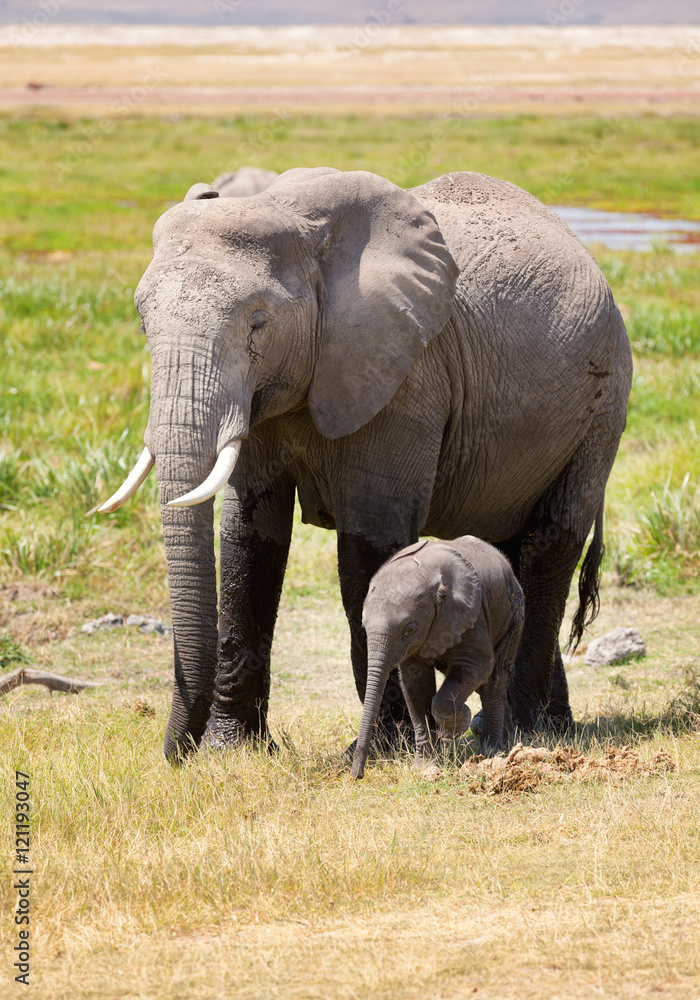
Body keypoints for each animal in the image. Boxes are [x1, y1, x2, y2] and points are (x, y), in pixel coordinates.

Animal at [351, 535, 524, 779]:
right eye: (364, 627)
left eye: (409, 629)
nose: (357, 775)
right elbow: (415, 685)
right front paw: (425, 766)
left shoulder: (469, 612)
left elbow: (477, 664)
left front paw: (458, 725)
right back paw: (506, 740)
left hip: (513, 614)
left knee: (495, 680)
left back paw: (491, 752)